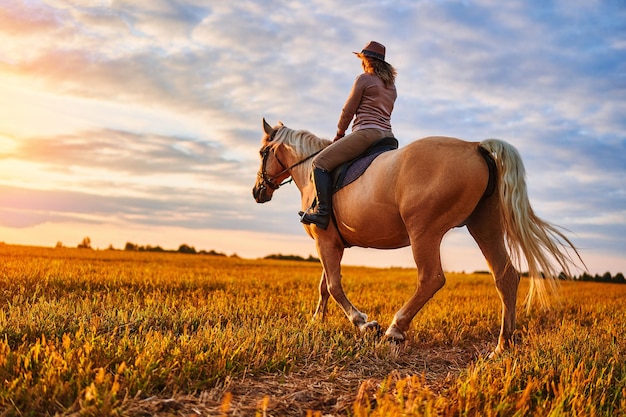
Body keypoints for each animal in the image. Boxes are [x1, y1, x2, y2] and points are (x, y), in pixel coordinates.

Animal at [250, 118, 580, 356]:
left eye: (263, 153)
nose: (257, 192)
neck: (310, 173)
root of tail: (476, 147)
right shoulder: (328, 243)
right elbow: (324, 287)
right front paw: (317, 320)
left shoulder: (325, 241)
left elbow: (333, 285)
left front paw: (364, 323)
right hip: (484, 225)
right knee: (506, 276)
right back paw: (502, 346)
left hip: (424, 230)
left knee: (431, 278)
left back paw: (395, 329)